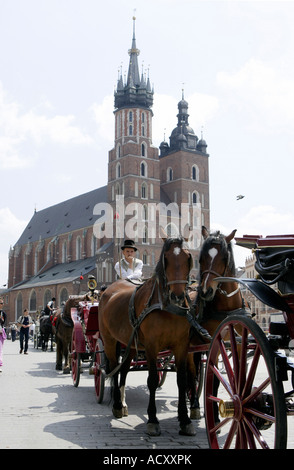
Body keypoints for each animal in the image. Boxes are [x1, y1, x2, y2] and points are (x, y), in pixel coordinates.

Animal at [99, 235, 211, 436]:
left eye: (188, 257)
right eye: (165, 258)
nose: (177, 296)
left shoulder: (182, 346)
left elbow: (182, 380)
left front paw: (185, 420)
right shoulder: (152, 345)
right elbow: (151, 380)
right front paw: (152, 420)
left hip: (130, 343)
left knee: (123, 369)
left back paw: (122, 403)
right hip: (109, 340)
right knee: (113, 368)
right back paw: (117, 404)